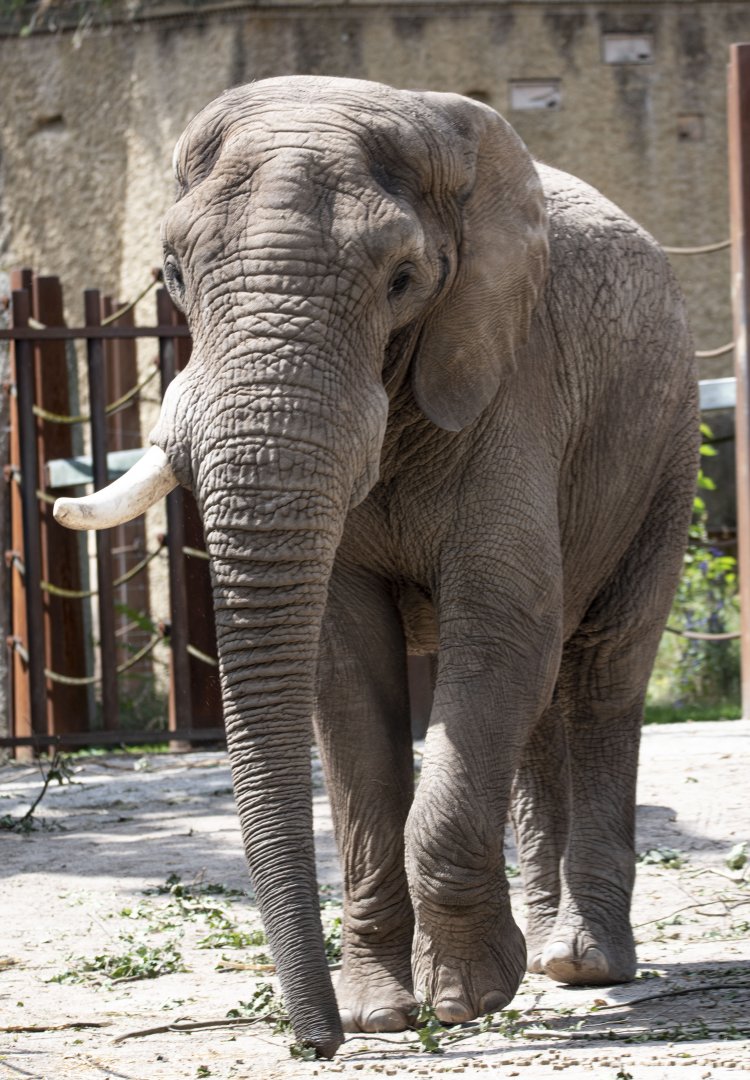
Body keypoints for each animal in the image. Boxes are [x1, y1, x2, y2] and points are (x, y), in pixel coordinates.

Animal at [54, 75, 700, 1059]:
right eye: (170, 276)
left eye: (403, 281)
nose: (314, 1044)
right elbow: (346, 668)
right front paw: (382, 1016)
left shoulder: (512, 380)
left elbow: (498, 631)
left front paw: (466, 1000)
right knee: (544, 695)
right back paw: (551, 958)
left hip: (665, 444)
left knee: (601, 668)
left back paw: (584, 964)